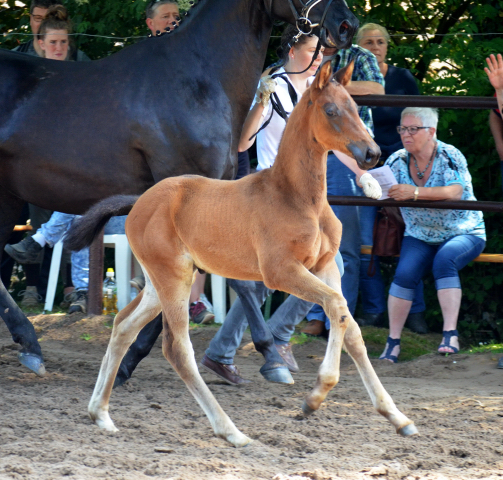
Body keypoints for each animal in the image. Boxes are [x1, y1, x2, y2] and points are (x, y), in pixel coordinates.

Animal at [0, 0, 358, 376]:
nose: (347, 25)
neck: (197, 81)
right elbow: (220, 282)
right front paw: (270, 356)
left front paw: (133, 358)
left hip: (6, 196)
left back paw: (30, 346)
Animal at [67, 61, 420, 446]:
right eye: (331, 111)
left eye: (356, 108)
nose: (371, 154)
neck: (297, 198)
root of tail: (138, 203)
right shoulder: (281, 271)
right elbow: (336, 308)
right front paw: (315, 396)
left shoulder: (326, 266)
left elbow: (349, 326)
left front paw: (398, 417)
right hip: (173, 278)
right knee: (177, 349)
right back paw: (231, 430)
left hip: (160, 283)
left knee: (123, 326)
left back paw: (101, 414)